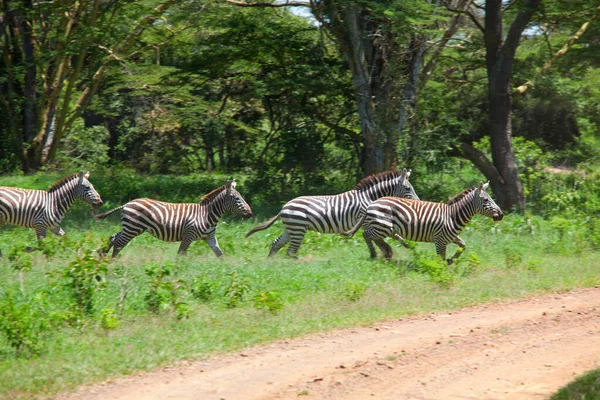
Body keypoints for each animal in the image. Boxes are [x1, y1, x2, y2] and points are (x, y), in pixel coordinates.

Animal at [94, 180, 253, 258]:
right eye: (237, 198)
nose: (250, 213)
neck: (206, 214)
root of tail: (127, 203)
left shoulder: (210, 237)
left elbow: (220, 254)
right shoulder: (189, 235)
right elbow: (180, 254)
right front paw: (177, 273)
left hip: (129, 227)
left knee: (114, 237)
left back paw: (103, 257)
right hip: (133, 228)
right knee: (119, 242)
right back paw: (112, 261)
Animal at [244, 170, 418, 260]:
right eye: (408, 189)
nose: (418, 201)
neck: (368, 197)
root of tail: (284, 207)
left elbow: (390, 234)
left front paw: (404, 246)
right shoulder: (366, 220)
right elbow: (378, 236)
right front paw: (382, 252)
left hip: (291, 228)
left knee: (276, 244)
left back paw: (270, 263)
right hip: (298, 228)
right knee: (290, 251)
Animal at [344, 182, 504, 264]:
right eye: (485, 200)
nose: (501, 215)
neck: (452, 216)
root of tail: (373, 202)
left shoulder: (451, 237)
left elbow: (463, 245)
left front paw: (451, 260)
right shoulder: (440, 240)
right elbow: (440, 259)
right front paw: (441, 271)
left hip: (383, 228)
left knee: (374, 238)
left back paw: (386, 253)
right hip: (382, 226)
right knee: (366, 235)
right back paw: (373, 255)